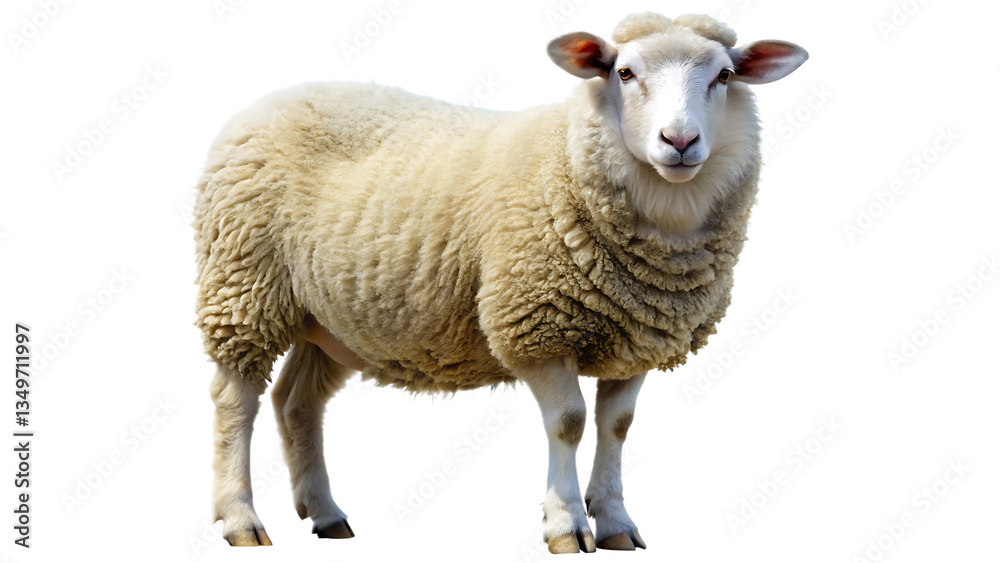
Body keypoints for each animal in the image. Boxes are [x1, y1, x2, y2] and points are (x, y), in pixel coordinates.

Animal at [193, 11, 807, 553]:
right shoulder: (535, 326)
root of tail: (266, 102)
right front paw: (567, 525)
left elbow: (618, 426)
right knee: (235, 400)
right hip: (242, 286)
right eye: (625, 73)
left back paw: (325, 514)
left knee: (296, 402)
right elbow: (569, 423)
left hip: (329, 316)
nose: (679, 141)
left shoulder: (638, 336)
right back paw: (241, 519)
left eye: (723, 76)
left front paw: (614, 522)